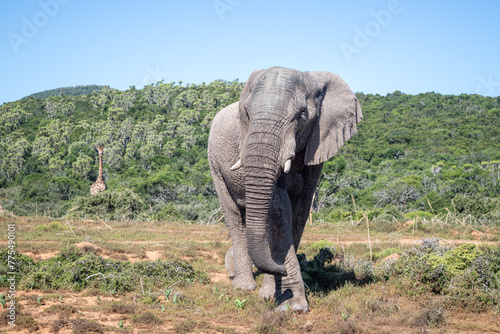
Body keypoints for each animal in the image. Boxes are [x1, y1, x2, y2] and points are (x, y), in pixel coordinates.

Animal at [208, 66, 364, 312]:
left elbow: (299, 211)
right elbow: (279, 210)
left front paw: (275, 296)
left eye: (302, 115)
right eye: (247, 114)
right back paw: (243, 287)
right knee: (234, 216)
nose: (277, 268)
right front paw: (291, 304)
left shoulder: (316, 146)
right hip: (214, 163)